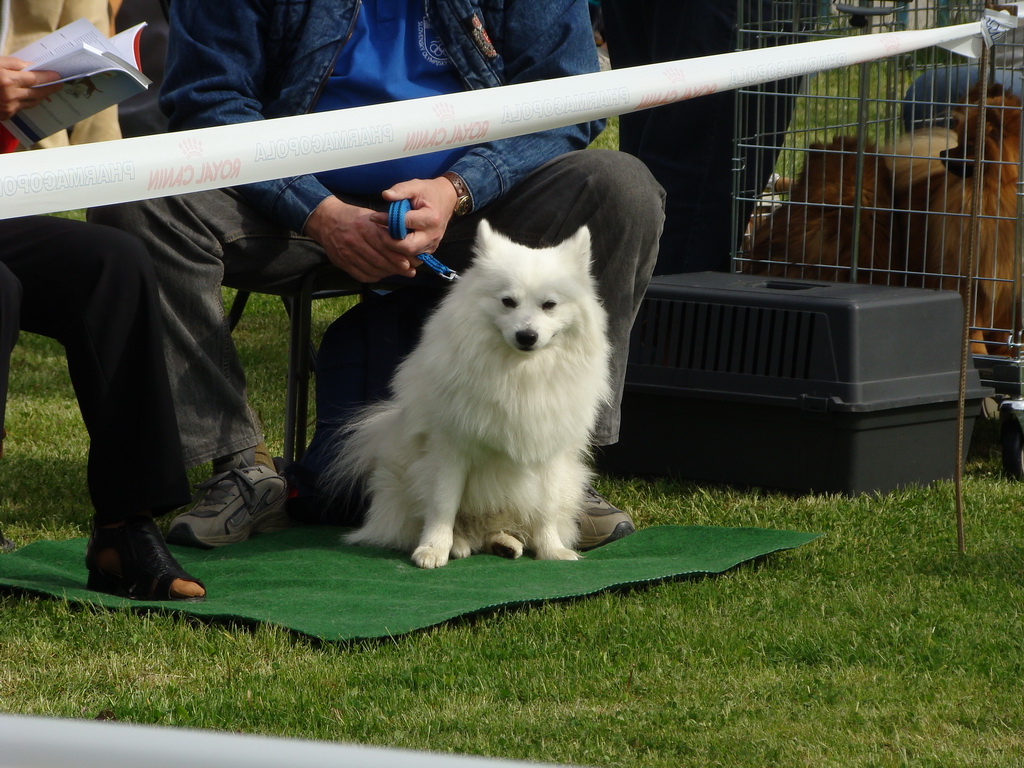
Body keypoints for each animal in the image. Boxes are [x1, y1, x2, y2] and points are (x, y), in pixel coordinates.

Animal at [325, 219, 606, 569]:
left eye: (549, 305)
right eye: (508, 302)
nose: (526, 336)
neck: (518, 372)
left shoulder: (549, 452)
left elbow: (546, 508)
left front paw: (551, 550)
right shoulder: (451, 449)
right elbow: (443, 504)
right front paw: (433, 549)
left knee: (496, 527)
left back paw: (504, 543)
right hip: (401, 481)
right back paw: (458, 544)